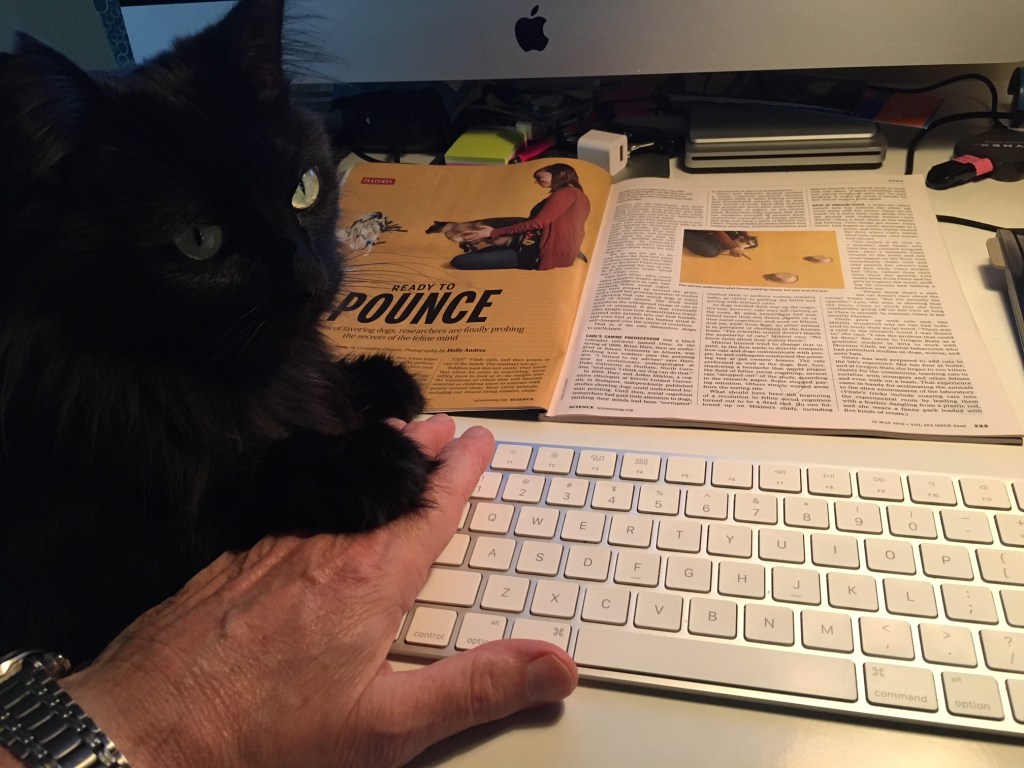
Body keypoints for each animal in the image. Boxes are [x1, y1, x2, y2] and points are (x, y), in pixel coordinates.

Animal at [0, 0, 433, 663]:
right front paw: (369, 461)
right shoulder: (82, 569)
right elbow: (224, 488)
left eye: (305, 188)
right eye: (199, 241)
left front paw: (381, 381)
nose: (311, 278)